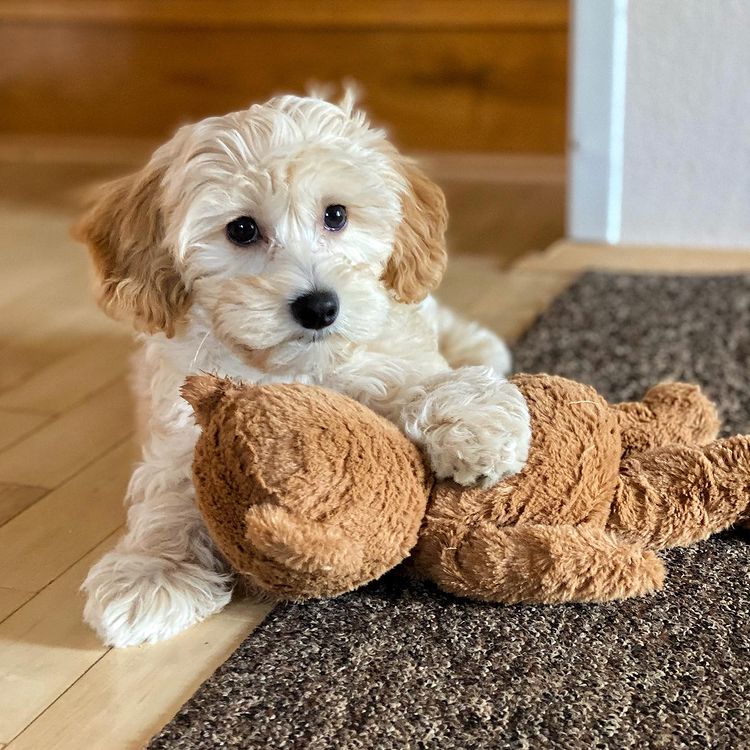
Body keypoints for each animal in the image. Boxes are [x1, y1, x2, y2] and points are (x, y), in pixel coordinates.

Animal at [76, 91, 532, 648]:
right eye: (242, 229)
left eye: (335, 215)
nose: (319, 307)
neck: (299, 368)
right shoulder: (180, 426)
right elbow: (168, 494)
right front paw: (151, 571)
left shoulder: (387, 351)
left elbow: (421, 379)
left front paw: (473, 424)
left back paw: (476, 344)